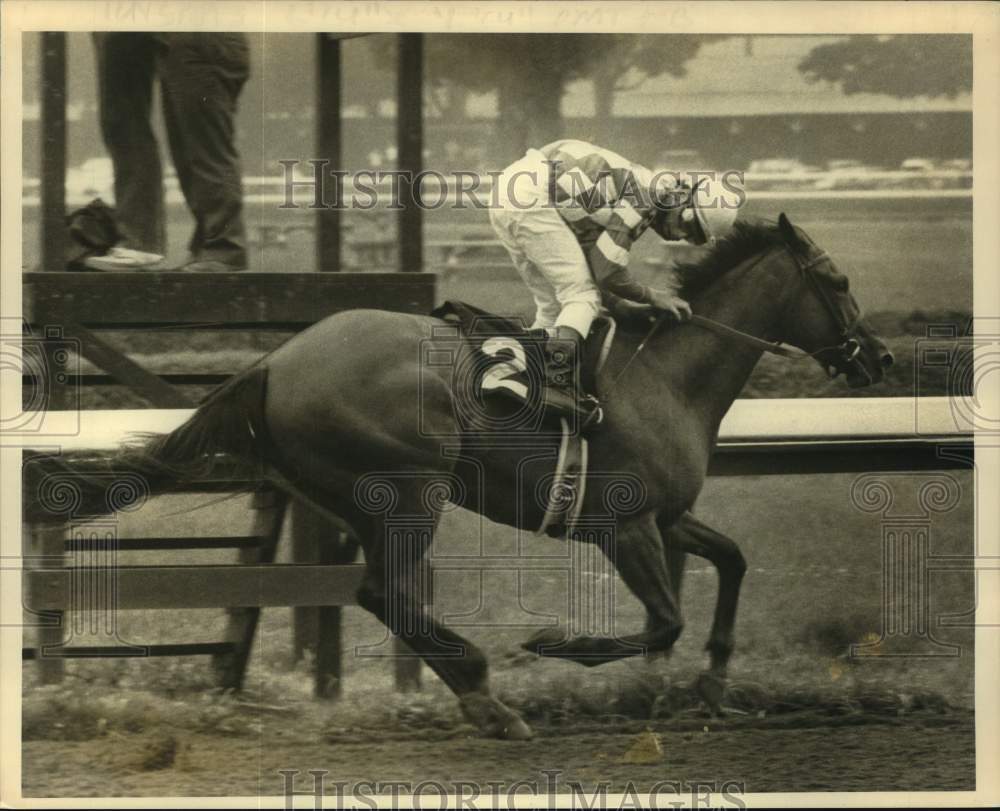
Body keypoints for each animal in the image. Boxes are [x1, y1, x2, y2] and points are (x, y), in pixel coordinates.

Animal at [29, 216, 892, 744]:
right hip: (411, 487)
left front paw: (715, 679)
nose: (879, 357)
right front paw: (555, 644)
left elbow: (733, 561)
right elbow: (662, 621)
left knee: (382, 593)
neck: (665, 377)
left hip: (356, 495)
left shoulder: (669, 515)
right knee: (383, 590)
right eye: (840, 281)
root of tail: (275, 360)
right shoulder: (625, 525)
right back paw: (486, 693)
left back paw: (481, 695)